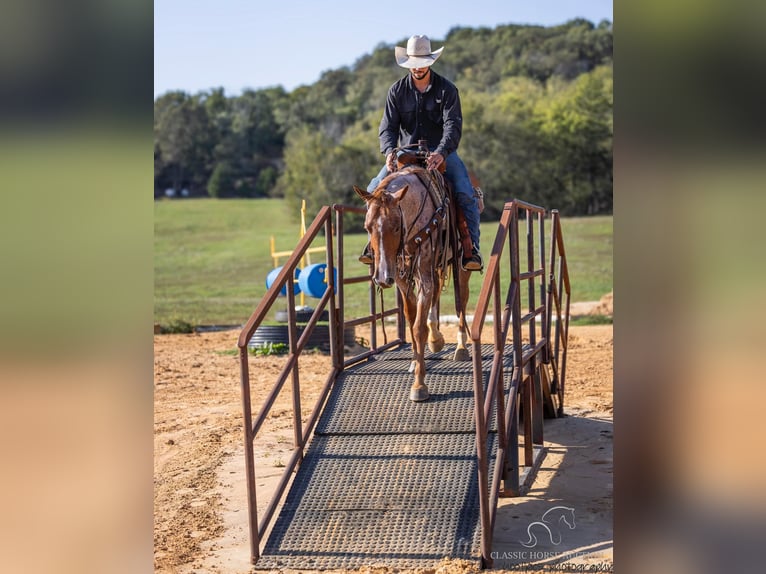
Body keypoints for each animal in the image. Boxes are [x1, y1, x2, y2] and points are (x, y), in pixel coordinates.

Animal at [356, 164, 474, 402]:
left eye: (395, 227)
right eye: (367, 227)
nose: (382, 277)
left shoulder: (424, 272)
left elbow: (419, 328)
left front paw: (419, 385)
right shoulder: (403, 278)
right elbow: (411, 319)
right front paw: (415, 361)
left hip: (461, 267)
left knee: (462, 303)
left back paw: (461, 347)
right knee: (437, 296)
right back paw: (436, 339)